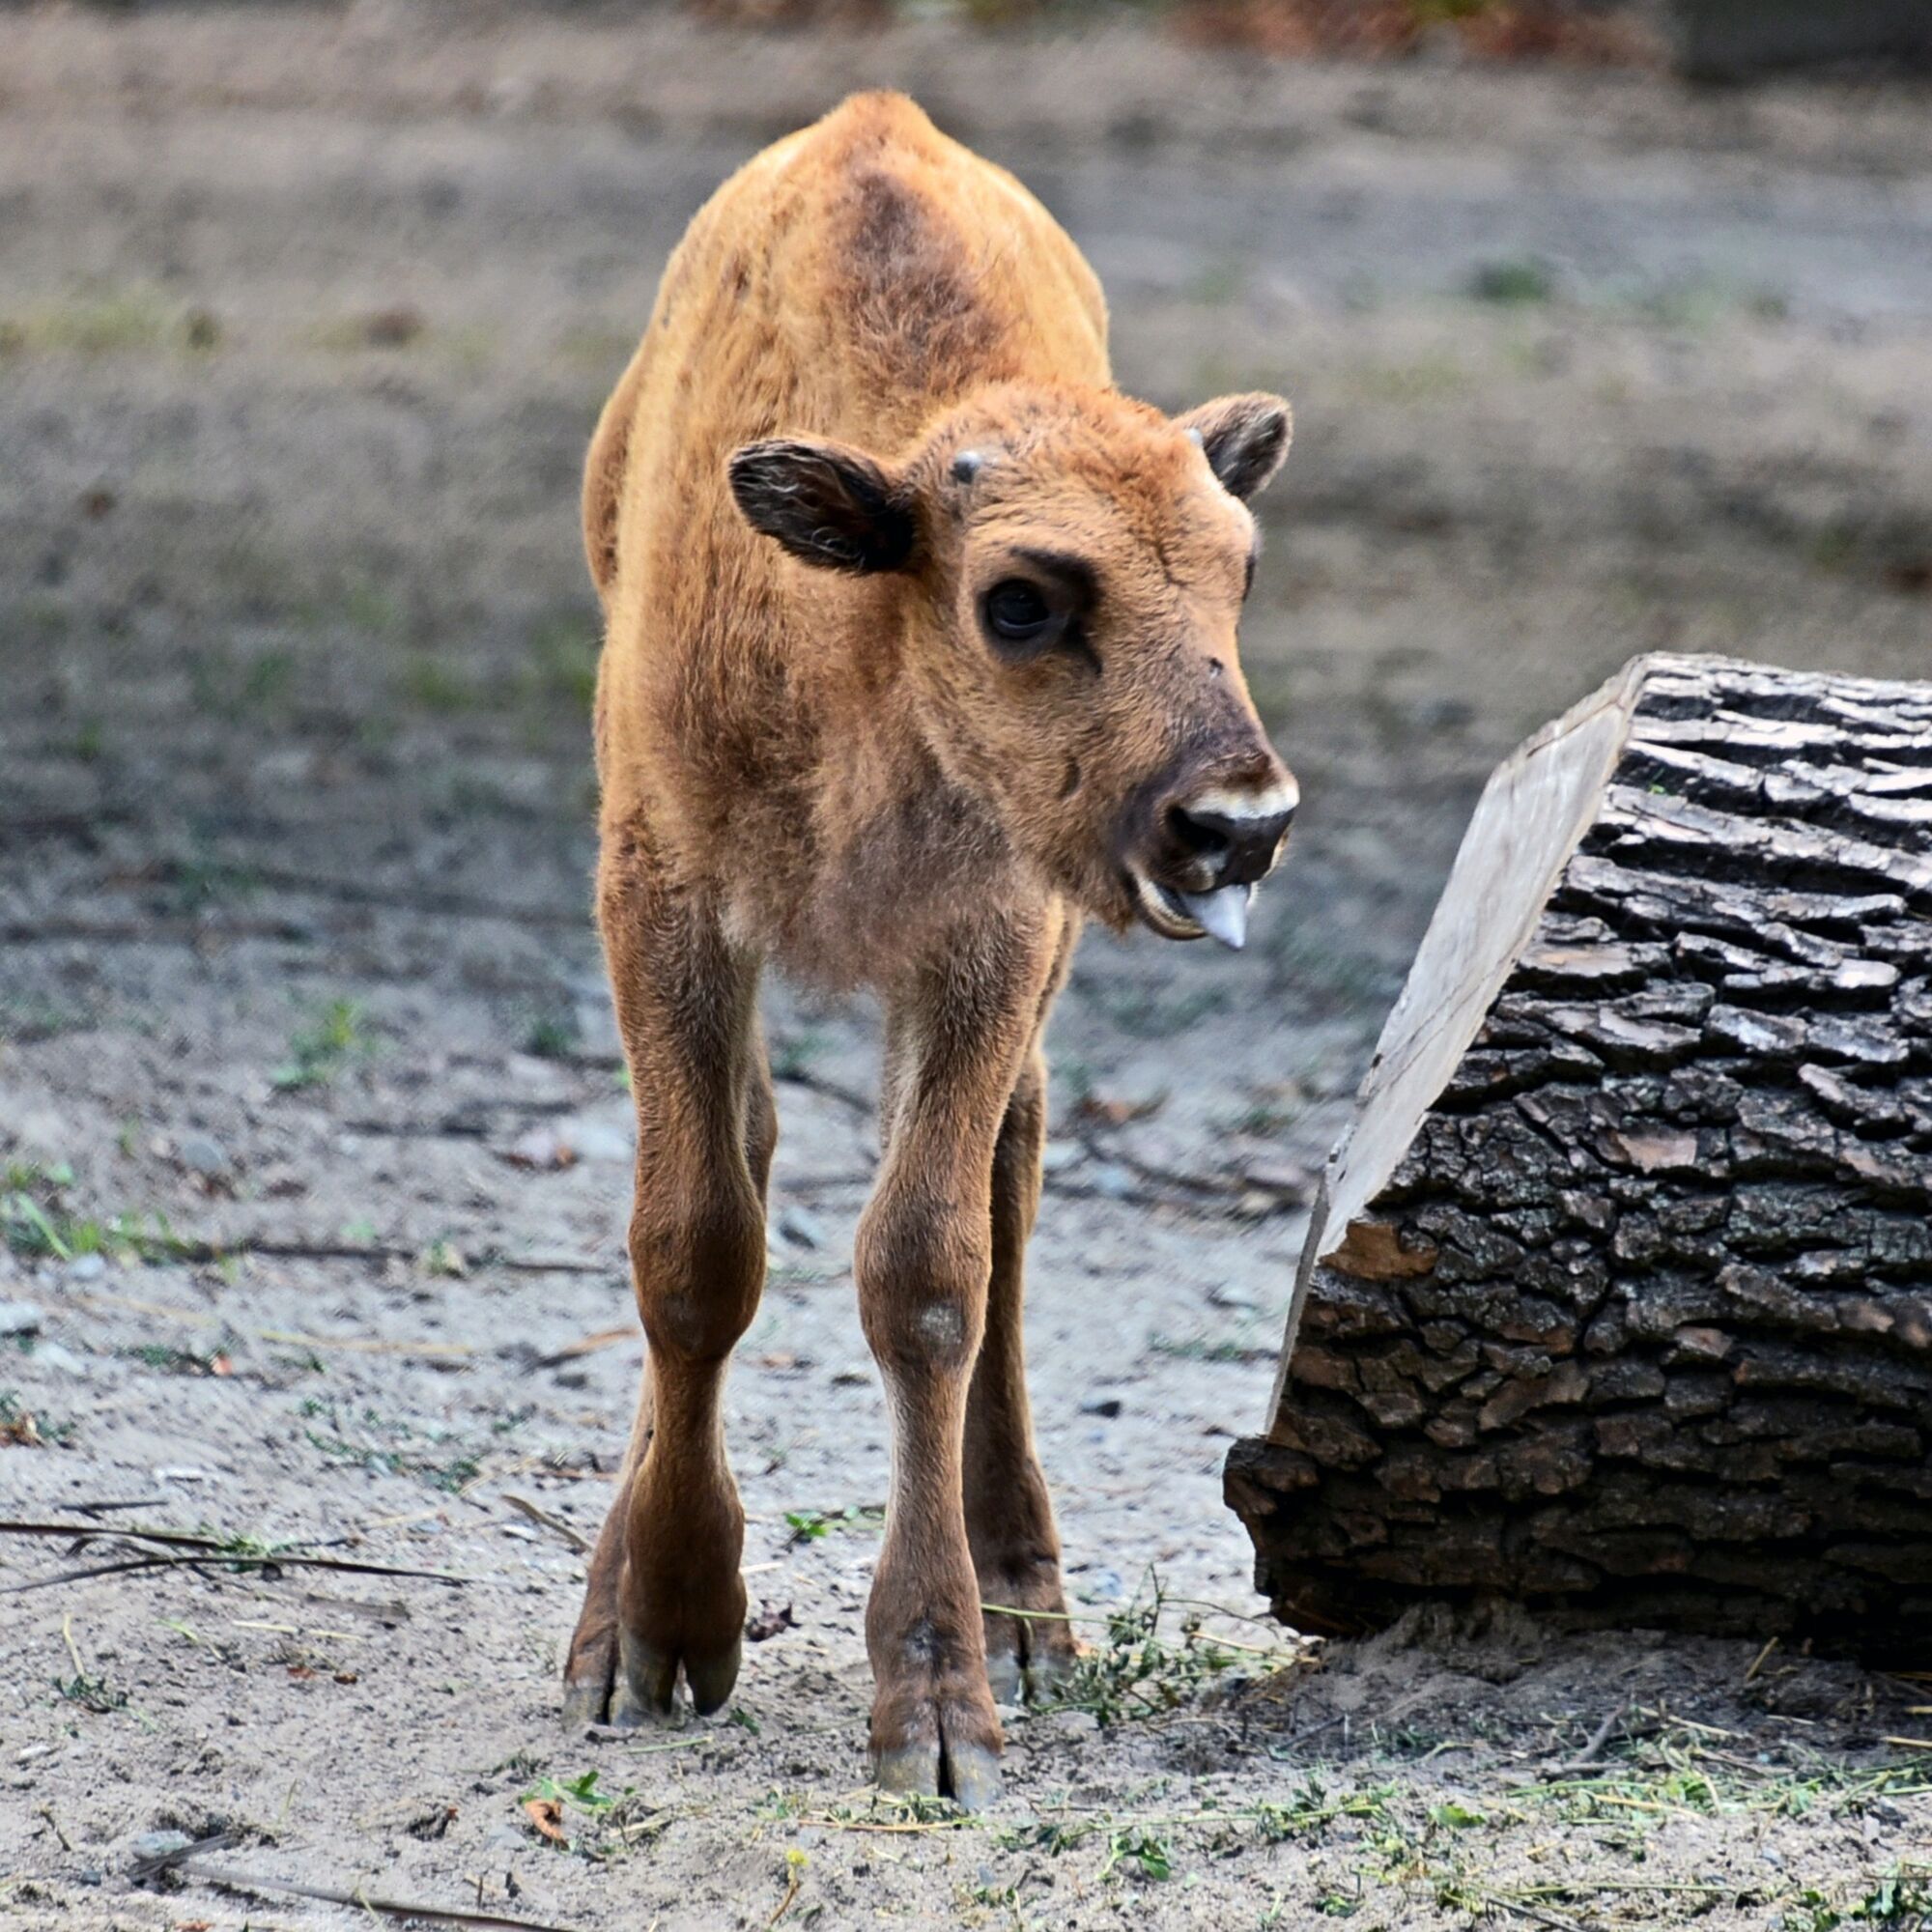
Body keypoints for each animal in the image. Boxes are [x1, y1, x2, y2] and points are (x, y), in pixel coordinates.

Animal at [564, 91, 1298, 1808]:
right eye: (1019, 599)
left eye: (1239, 570)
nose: (1239, 823)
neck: (856, 638)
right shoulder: (663, 900)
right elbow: (693, 1244)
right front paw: (663, 1629)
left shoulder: (988, 944)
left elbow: (928, 1272)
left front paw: (945, 1698)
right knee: (755, 1150)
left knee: (1012, 1185)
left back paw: (1028, 1605)